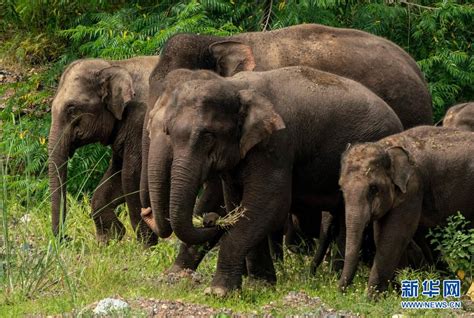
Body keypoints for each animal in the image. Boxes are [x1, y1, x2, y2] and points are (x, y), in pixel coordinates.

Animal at [48, 56, 159, 246]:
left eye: (71, 108)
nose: (68, 238)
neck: (115, 65)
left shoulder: (141, 121)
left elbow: (131, 175)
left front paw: (146, 246)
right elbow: (116, 175)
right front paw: (110, 239)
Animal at [147, 66, 404, 296]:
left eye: (208, 135)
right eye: (169, 132)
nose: (210, 219)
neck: (236, 86)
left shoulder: (277, 145)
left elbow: (269, 204)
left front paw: (218, 291)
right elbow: (238, 204)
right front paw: (260, 285)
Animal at [338, 126, 472, 298]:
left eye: (373, 188)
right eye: (341, 188)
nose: (341, 292)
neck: (386, 146)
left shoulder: (413, 188)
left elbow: (394, 235)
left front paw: (371, 298)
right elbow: (382, 235)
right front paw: (396, 293)